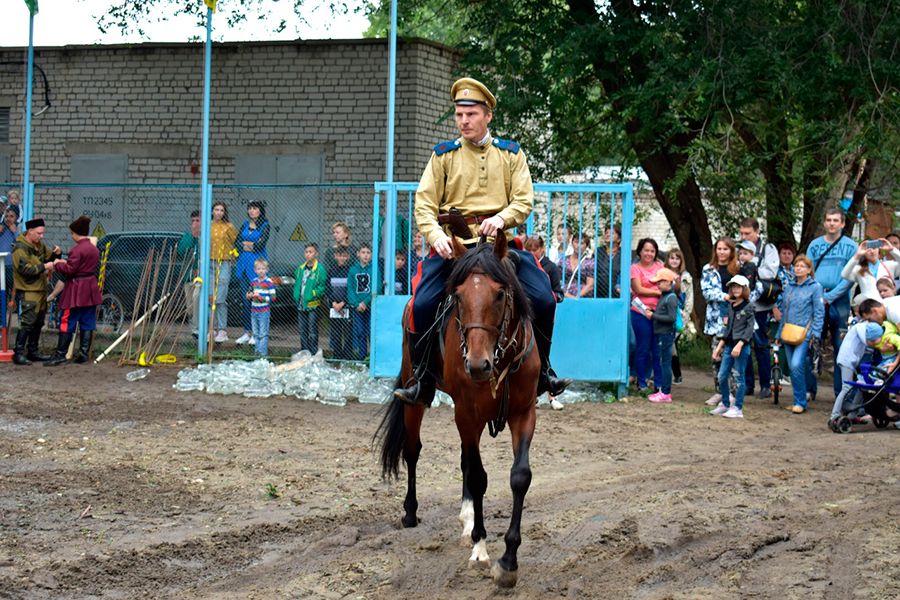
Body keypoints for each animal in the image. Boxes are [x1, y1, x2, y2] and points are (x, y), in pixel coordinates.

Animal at [374, 232, 536, 588]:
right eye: (459, 296)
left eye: (500, 293)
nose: (477, 365)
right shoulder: (467, 413)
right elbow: (478, 477)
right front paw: (480, 545)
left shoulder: (524, 413)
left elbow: (519, 476)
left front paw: (509, 560)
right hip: (417, 396)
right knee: (413, 450)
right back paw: (411, 511)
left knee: (464, 458)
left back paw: (466, 517)